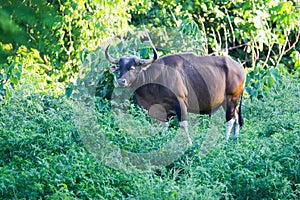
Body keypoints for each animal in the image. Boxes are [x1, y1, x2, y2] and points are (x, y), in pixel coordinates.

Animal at [105, 45, 246, 145]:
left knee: (230, 119)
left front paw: (189, 144)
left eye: (132, 68)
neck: (157, 77)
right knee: (236, 116)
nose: (121, 81)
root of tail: (241, 69)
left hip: (231, 98)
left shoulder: (181, 102)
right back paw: (235, 139)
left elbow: (183, 124)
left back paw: (225, 141)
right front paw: (161, 140)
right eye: (119, 67)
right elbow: (164, 125)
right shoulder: (163, 107)